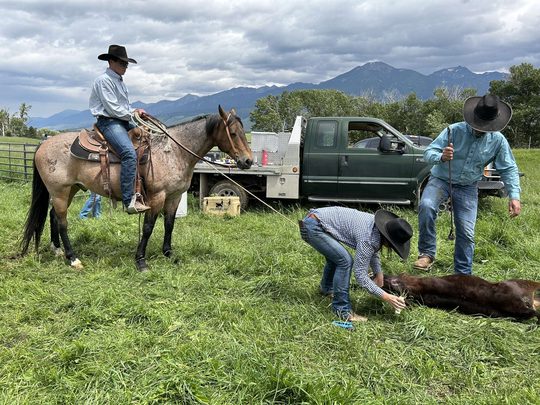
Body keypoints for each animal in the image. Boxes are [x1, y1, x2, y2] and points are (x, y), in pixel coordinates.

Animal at [21, 105, 253, 270]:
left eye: (243, 131)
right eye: (233, 133)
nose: (248, 161)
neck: (173, 151)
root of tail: (43, 144)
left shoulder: (175, 197)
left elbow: (169, 224)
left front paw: (168, 253)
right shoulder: (157, 197)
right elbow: (149, 227)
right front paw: (141, 260)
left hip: (71, 189)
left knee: (53, 215)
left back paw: (57, 250)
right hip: (59, 191)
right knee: (62, 222)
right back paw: (72, 258)